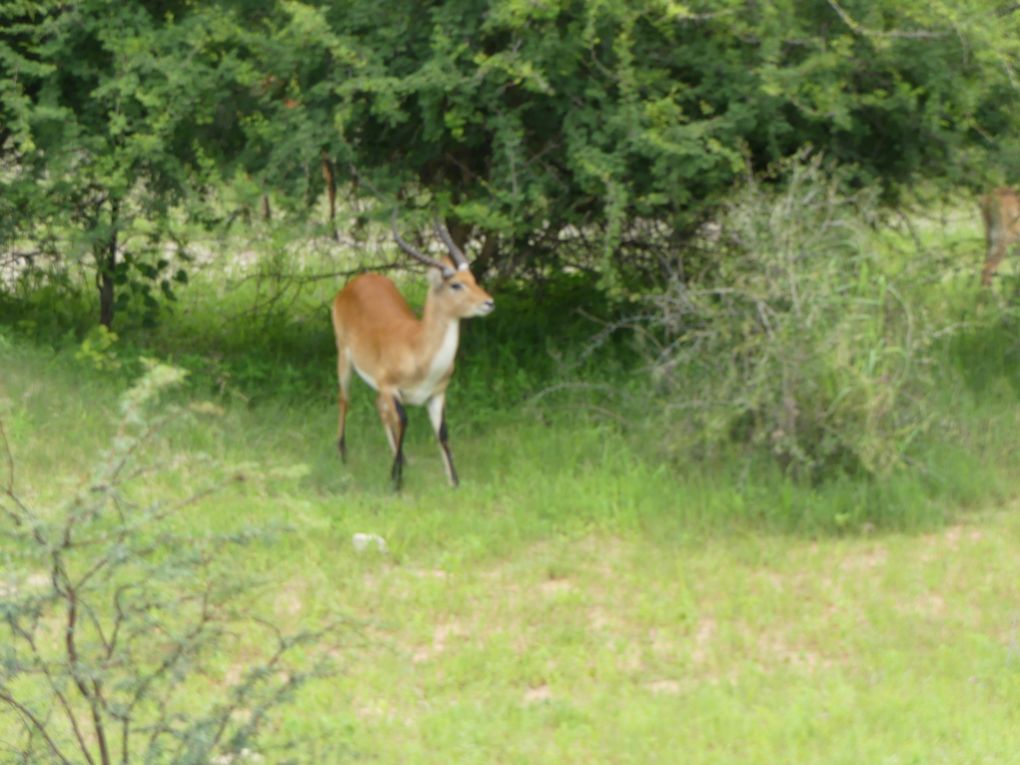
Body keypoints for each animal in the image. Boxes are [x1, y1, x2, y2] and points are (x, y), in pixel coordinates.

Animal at [330, 216, 493, 491]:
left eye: (472, 279)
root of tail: (358, 281)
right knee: (345, 399)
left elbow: (442, 431)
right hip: (344, 357)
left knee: (380, 407)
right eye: (456, 284)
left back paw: (402, 458)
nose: (489, 302)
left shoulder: (437, 394)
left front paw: (454, 481)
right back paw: (342, 455)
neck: (418, 350)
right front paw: (396, 481)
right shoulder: (390, 387)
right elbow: (404, 419)